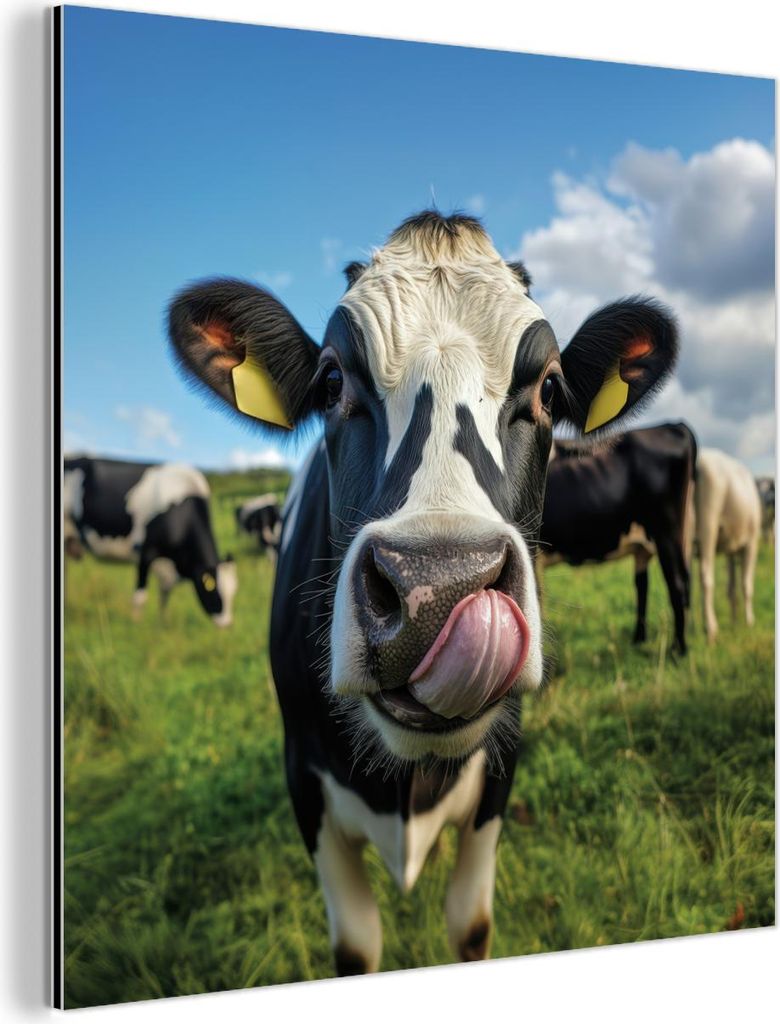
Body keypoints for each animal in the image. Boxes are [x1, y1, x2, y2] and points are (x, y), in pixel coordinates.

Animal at [63, 456, 238, 627]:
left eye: (233, 592)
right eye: (213, 590)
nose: (227, 624)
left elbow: (164, 596)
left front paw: (162, 622)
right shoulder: (145, 552)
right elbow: (140, 597)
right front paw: (136, 625)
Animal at [167, 211, 678, 974]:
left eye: (549, 389)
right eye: (330, 381)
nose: (437, 588)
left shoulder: (501, 770)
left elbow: (470, 923)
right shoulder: (304, 783)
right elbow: (356, 944)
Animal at [539, 422, 697, 654]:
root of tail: (673, 425)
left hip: (666, 531)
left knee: (676, 584)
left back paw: (678, 650)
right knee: (645, 585)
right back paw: (639, 641)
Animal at [695, 448, 761, 642]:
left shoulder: (730, 550)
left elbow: (731, 588)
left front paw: (734, 621)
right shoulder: (752, 543)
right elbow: (746, 584)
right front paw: (749, 621)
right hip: (708, 523)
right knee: (706, 575)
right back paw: (710, 629)